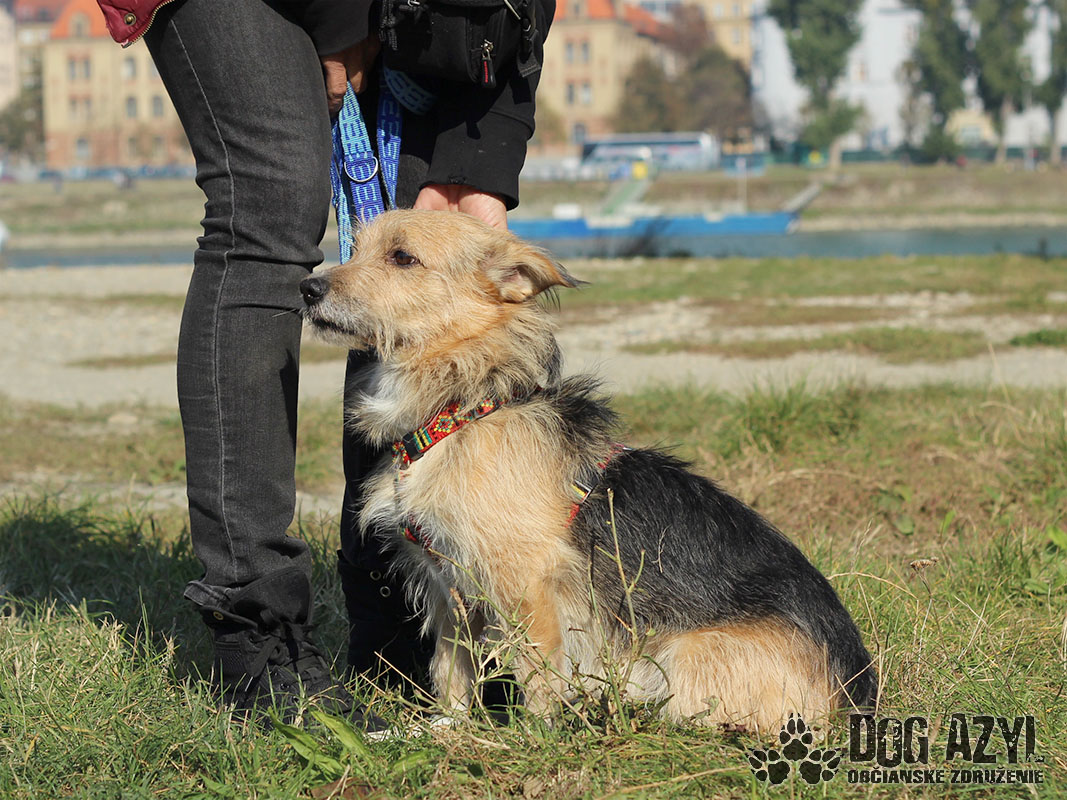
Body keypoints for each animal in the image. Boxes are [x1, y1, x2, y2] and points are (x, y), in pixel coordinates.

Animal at [300, 210, 878, 731]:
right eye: (355, 248)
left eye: (402, 258)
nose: (307, 287)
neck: (459, 410)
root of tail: (855, 695)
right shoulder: (449, 588)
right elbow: (452, 668)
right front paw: (448, 728)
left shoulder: (528, 582)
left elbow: (537, 673)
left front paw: (534, 739)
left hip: (680, 661)